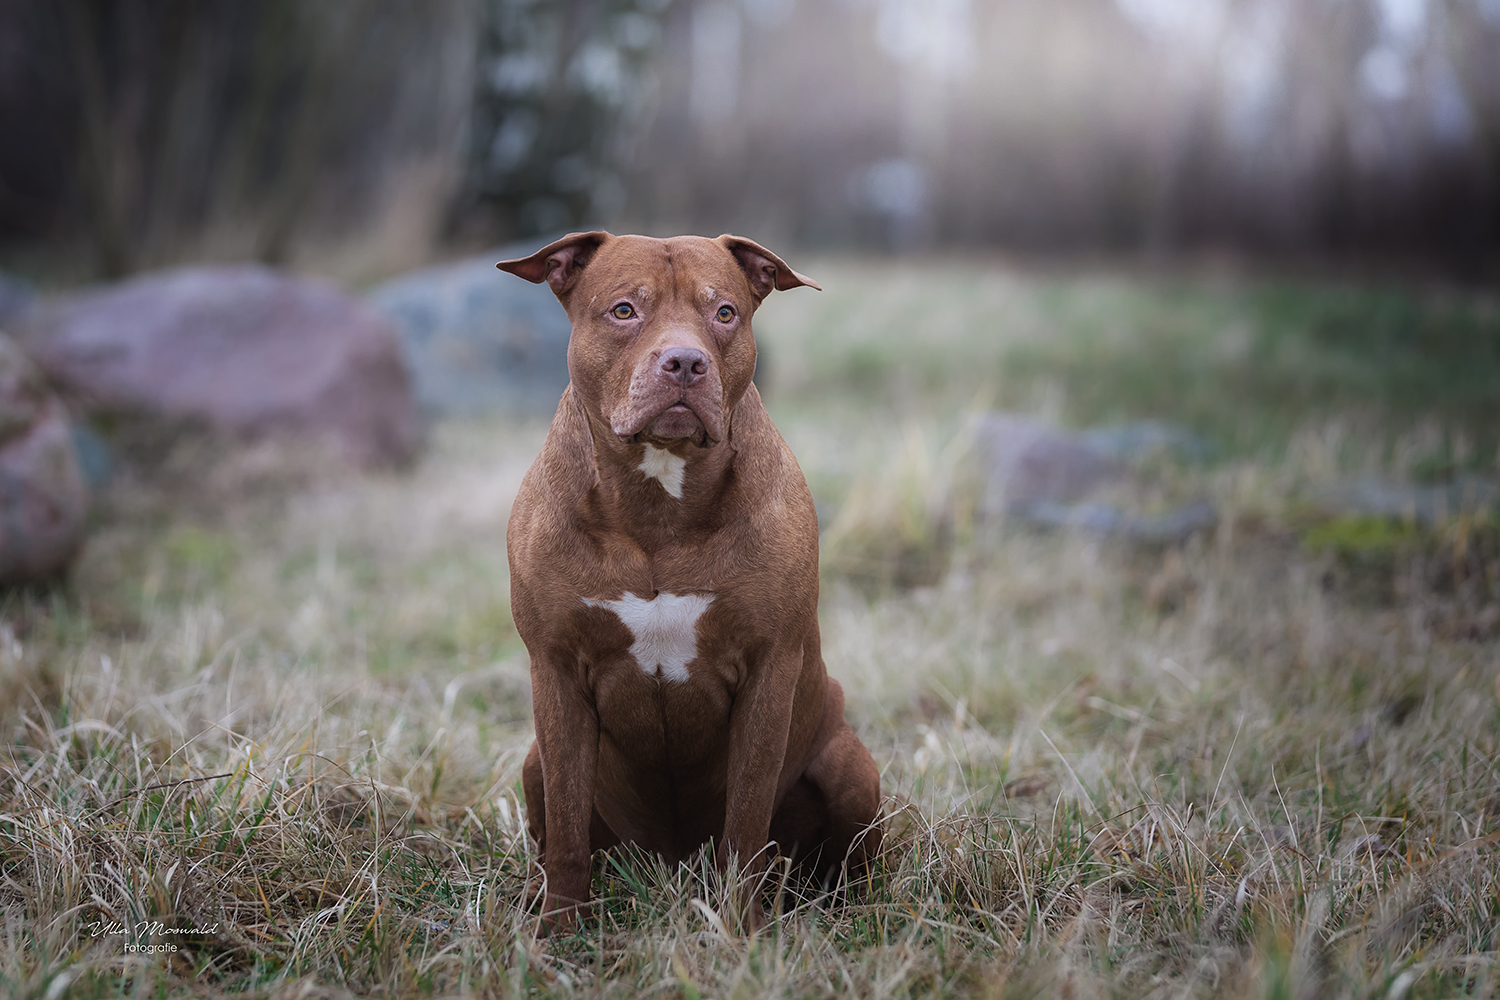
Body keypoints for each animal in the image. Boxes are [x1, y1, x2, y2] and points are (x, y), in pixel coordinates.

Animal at [498, 229, 882, 929]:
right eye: (624, 310)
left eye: (724, 312)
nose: (684, 362)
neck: (659, 504)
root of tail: (672, 863)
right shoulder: (556, 669)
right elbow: (566, 830)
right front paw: (558, 932)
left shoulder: (768, 671)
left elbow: (747, 821)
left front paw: (744, 928)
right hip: (536, 761)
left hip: (849, 765)